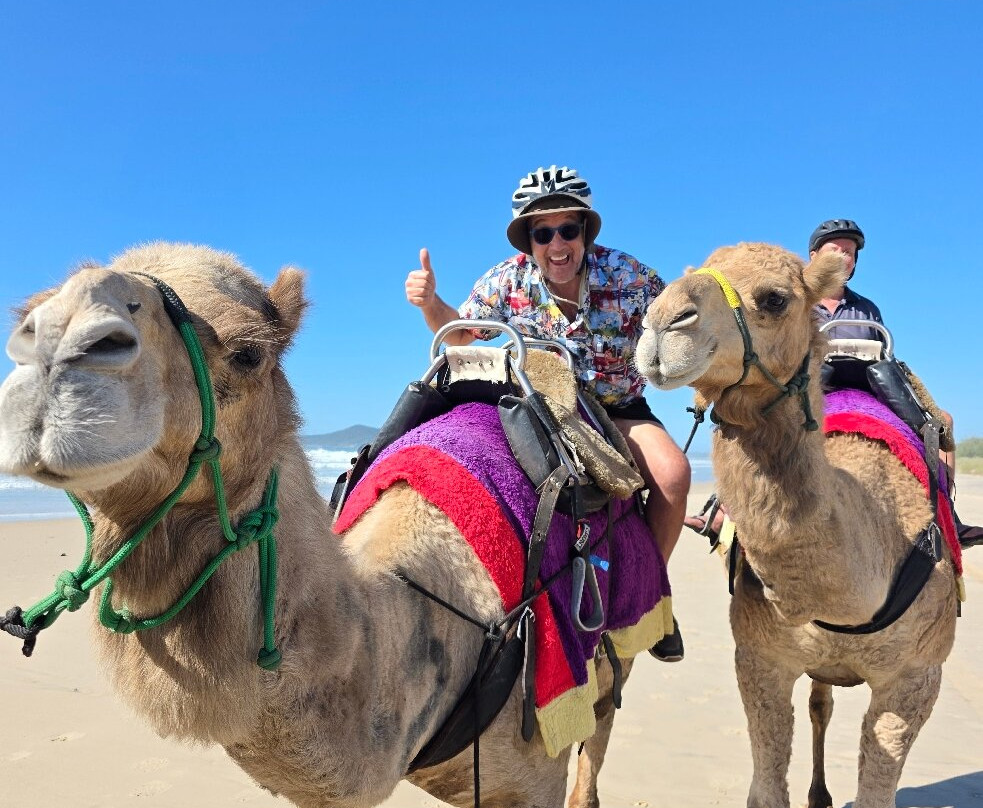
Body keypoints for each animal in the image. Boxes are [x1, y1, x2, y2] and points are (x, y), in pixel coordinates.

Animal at [635, 243, 959, 808]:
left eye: (774, 298)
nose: (660, 324)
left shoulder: (917, 676)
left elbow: (878, 792)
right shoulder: (760, 658)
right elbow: (766, 788)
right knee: (820, 703)